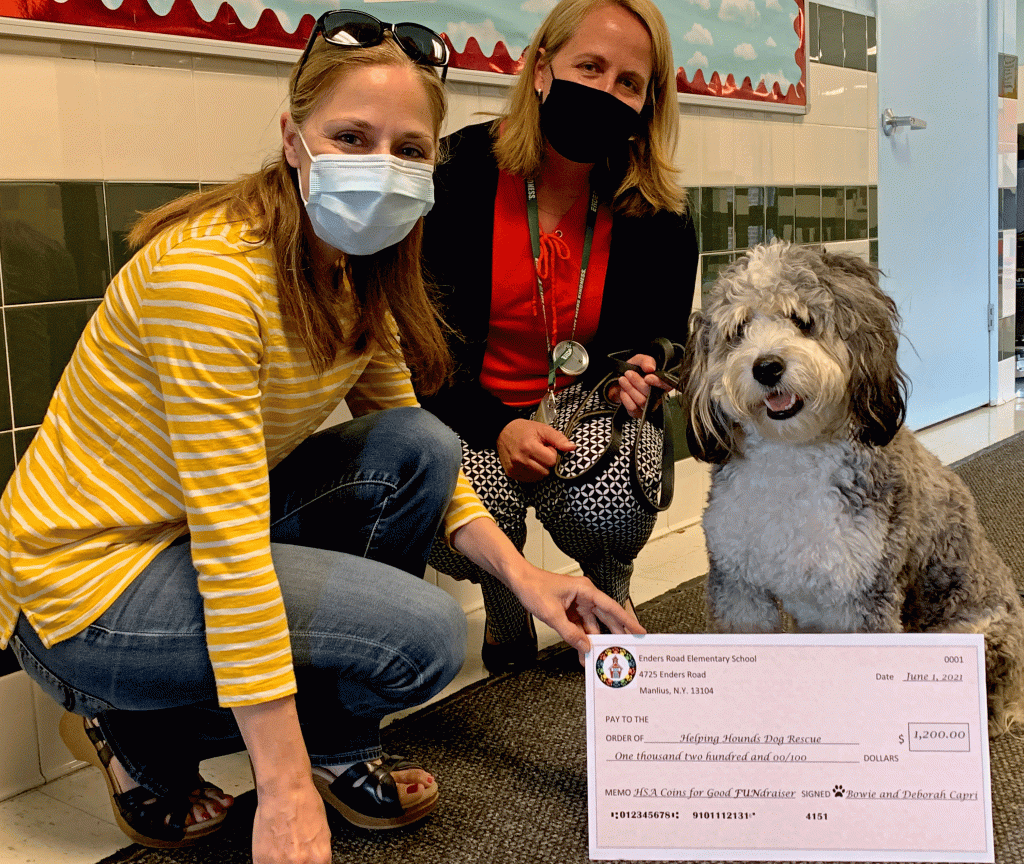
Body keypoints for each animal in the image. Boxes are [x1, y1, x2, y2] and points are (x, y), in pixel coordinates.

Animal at [679, 237, 1024, 737]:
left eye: (803, 320)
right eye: (739, 329)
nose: (767, 367)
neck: (792, 454)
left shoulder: (861, 598)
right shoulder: (739, 588)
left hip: (972, 634)